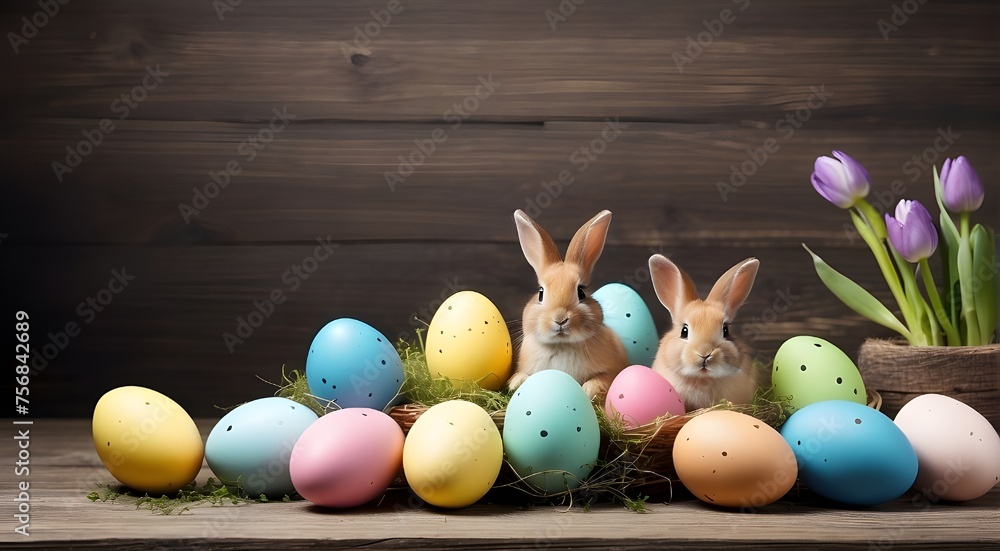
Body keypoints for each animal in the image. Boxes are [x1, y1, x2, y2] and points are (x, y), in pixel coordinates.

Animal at [512, 209, 628, 398]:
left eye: (581, 292)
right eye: (541, 293)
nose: (560, 319)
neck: (562, 345)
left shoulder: (610, 372)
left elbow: (602, 380)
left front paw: (588, 390)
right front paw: (517, 382)